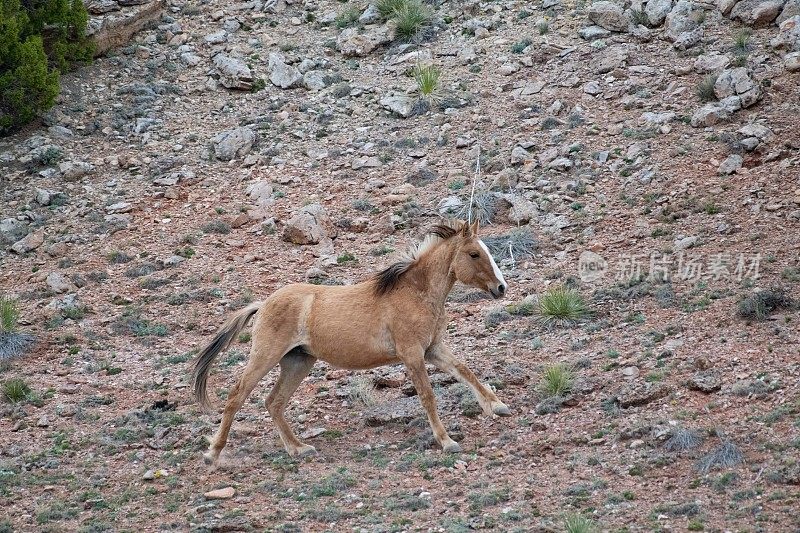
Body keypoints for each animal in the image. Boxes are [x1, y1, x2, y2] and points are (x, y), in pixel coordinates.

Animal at [191, 217, 510, 466]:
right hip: (265, 356)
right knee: (236, 396)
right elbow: (428, 396)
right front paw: (447, 441)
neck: (415, 293)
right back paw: (213, 455)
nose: (501, 288)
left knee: (274, 402)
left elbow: (465, 370)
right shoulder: (412, 354)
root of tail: (263, 304)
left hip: (298, 361)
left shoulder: (432, 349)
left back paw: (298, 448)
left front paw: (497, 407)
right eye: (474, 254)